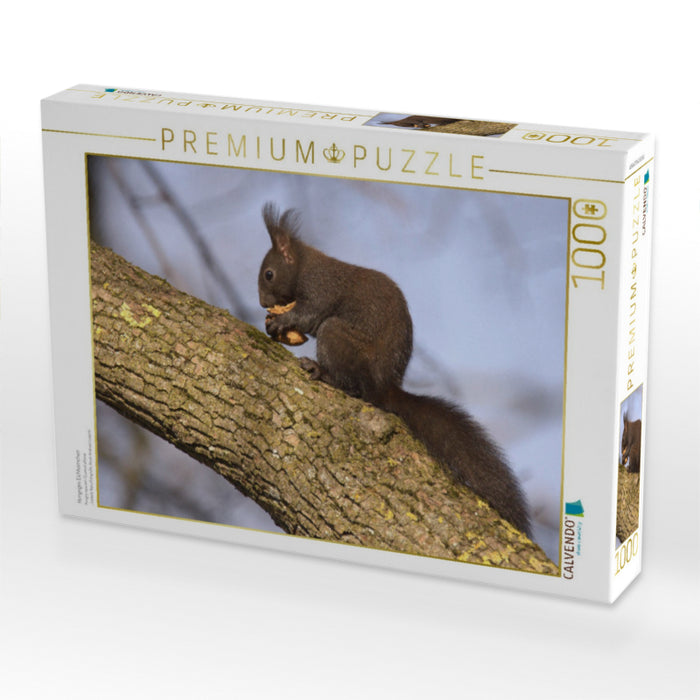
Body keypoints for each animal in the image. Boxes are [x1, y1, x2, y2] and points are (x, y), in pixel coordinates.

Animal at [258, 203, 531, 536]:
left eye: (269, 274)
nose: (262, 302)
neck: (305, 265)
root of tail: (387, 387)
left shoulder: (321, 288)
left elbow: (308, 315)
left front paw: (281, 321)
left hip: (338, 339)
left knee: (356, 388)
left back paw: (323, 373)